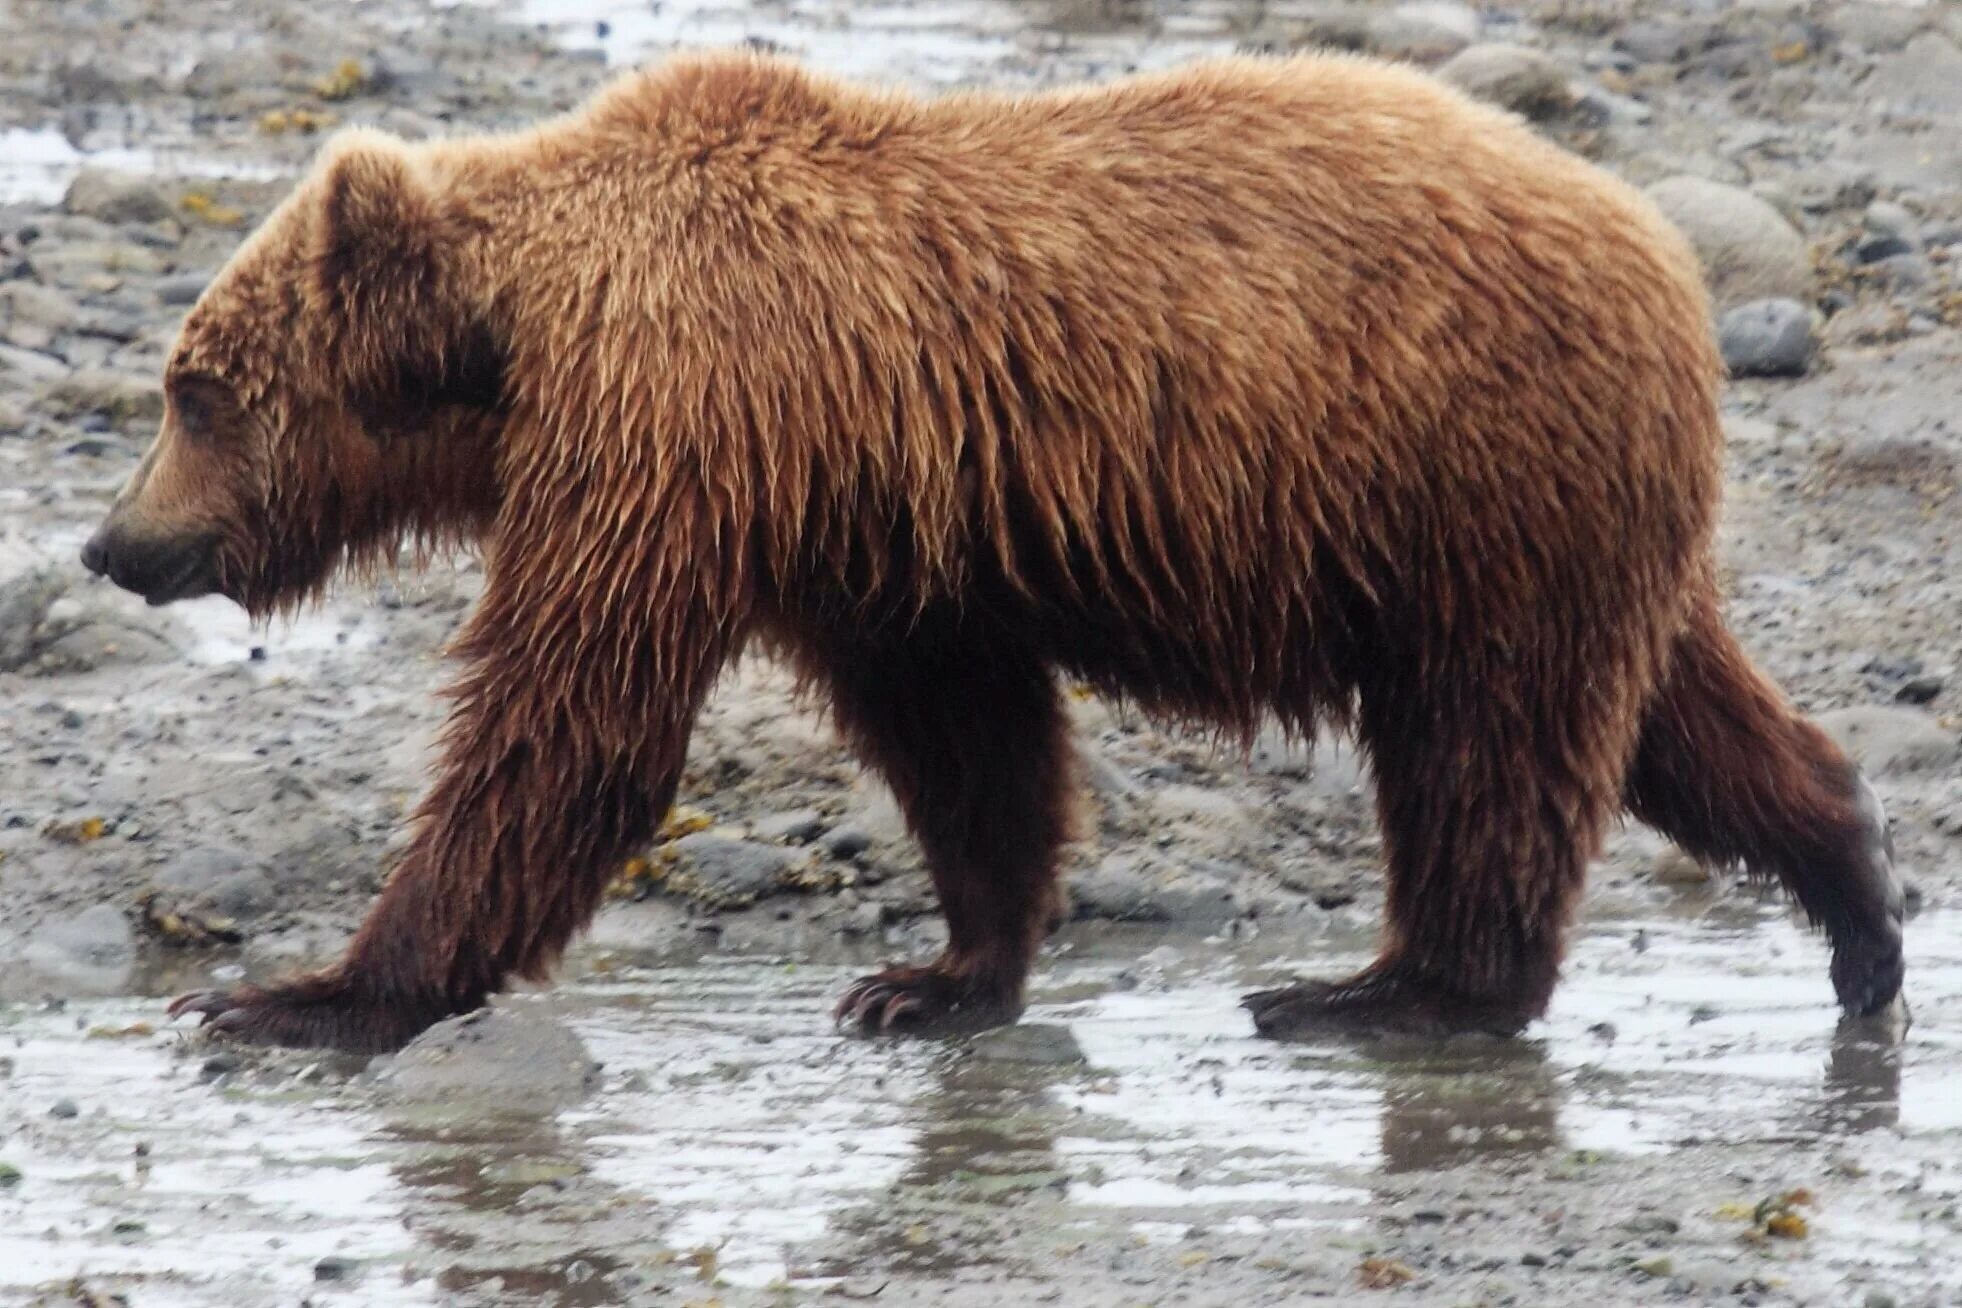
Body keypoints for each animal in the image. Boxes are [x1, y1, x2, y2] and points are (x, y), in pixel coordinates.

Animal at [80, 51, 1899, 1058]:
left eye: (192, 386)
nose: (110, 542)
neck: (517, 342)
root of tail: (1657, 245)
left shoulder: (680, 422)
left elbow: (571, 720)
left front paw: (302, 993)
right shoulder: (865, 522)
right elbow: (964, 736)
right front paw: (936, 975)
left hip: (1461, 467)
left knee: (1488, 737)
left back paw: (1390, 987)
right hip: (1561, 509)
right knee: (1672, 715)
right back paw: (1858, 906)